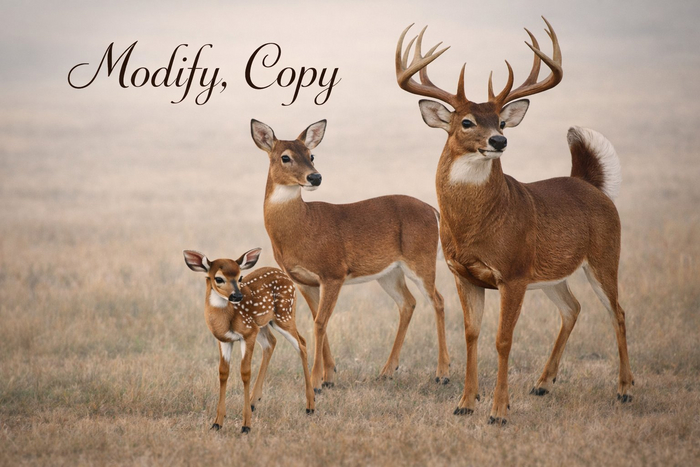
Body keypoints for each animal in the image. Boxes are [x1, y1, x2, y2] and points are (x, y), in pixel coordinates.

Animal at [183, 248, 315, 433]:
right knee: (271, 342)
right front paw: (217, 423)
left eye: (240, 277)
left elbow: (245, 372)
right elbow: (223, 372)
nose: (237, 296)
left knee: (301, 343)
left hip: (284, 315)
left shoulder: (247, 334)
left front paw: (246, 425)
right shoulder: (224, 339)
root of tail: (285, 275)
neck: (226, 319)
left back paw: (310, 406)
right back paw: (254, 401)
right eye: (218, 278)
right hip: (263, 324)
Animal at [250, 119, 450, 394]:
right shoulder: (304, 281)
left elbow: (320, 323)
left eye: (311, 154)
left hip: (421, 259)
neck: (302, 227)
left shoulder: (333, 272)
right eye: (285, 157)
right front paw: (329, 376)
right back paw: (387, 372)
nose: (315, 177)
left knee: (438, 301)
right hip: (389, 272)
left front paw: (316, 382)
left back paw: (442, 373)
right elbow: (318, 320)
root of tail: (434, 211)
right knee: (408, 303)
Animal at [395, 17, 634, 424]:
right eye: (466, 121)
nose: (499, 141)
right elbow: (471, 335)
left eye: (502, 121)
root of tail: (590, 183)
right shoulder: (463, 274)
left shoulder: (513, 273)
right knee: (573, 308)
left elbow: (503, 340)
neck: (475, 226)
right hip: (553, 272)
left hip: (604, 255)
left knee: (617, 311)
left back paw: (625, 390)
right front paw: (465, 403)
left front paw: (498, 411)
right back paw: (542, 383)